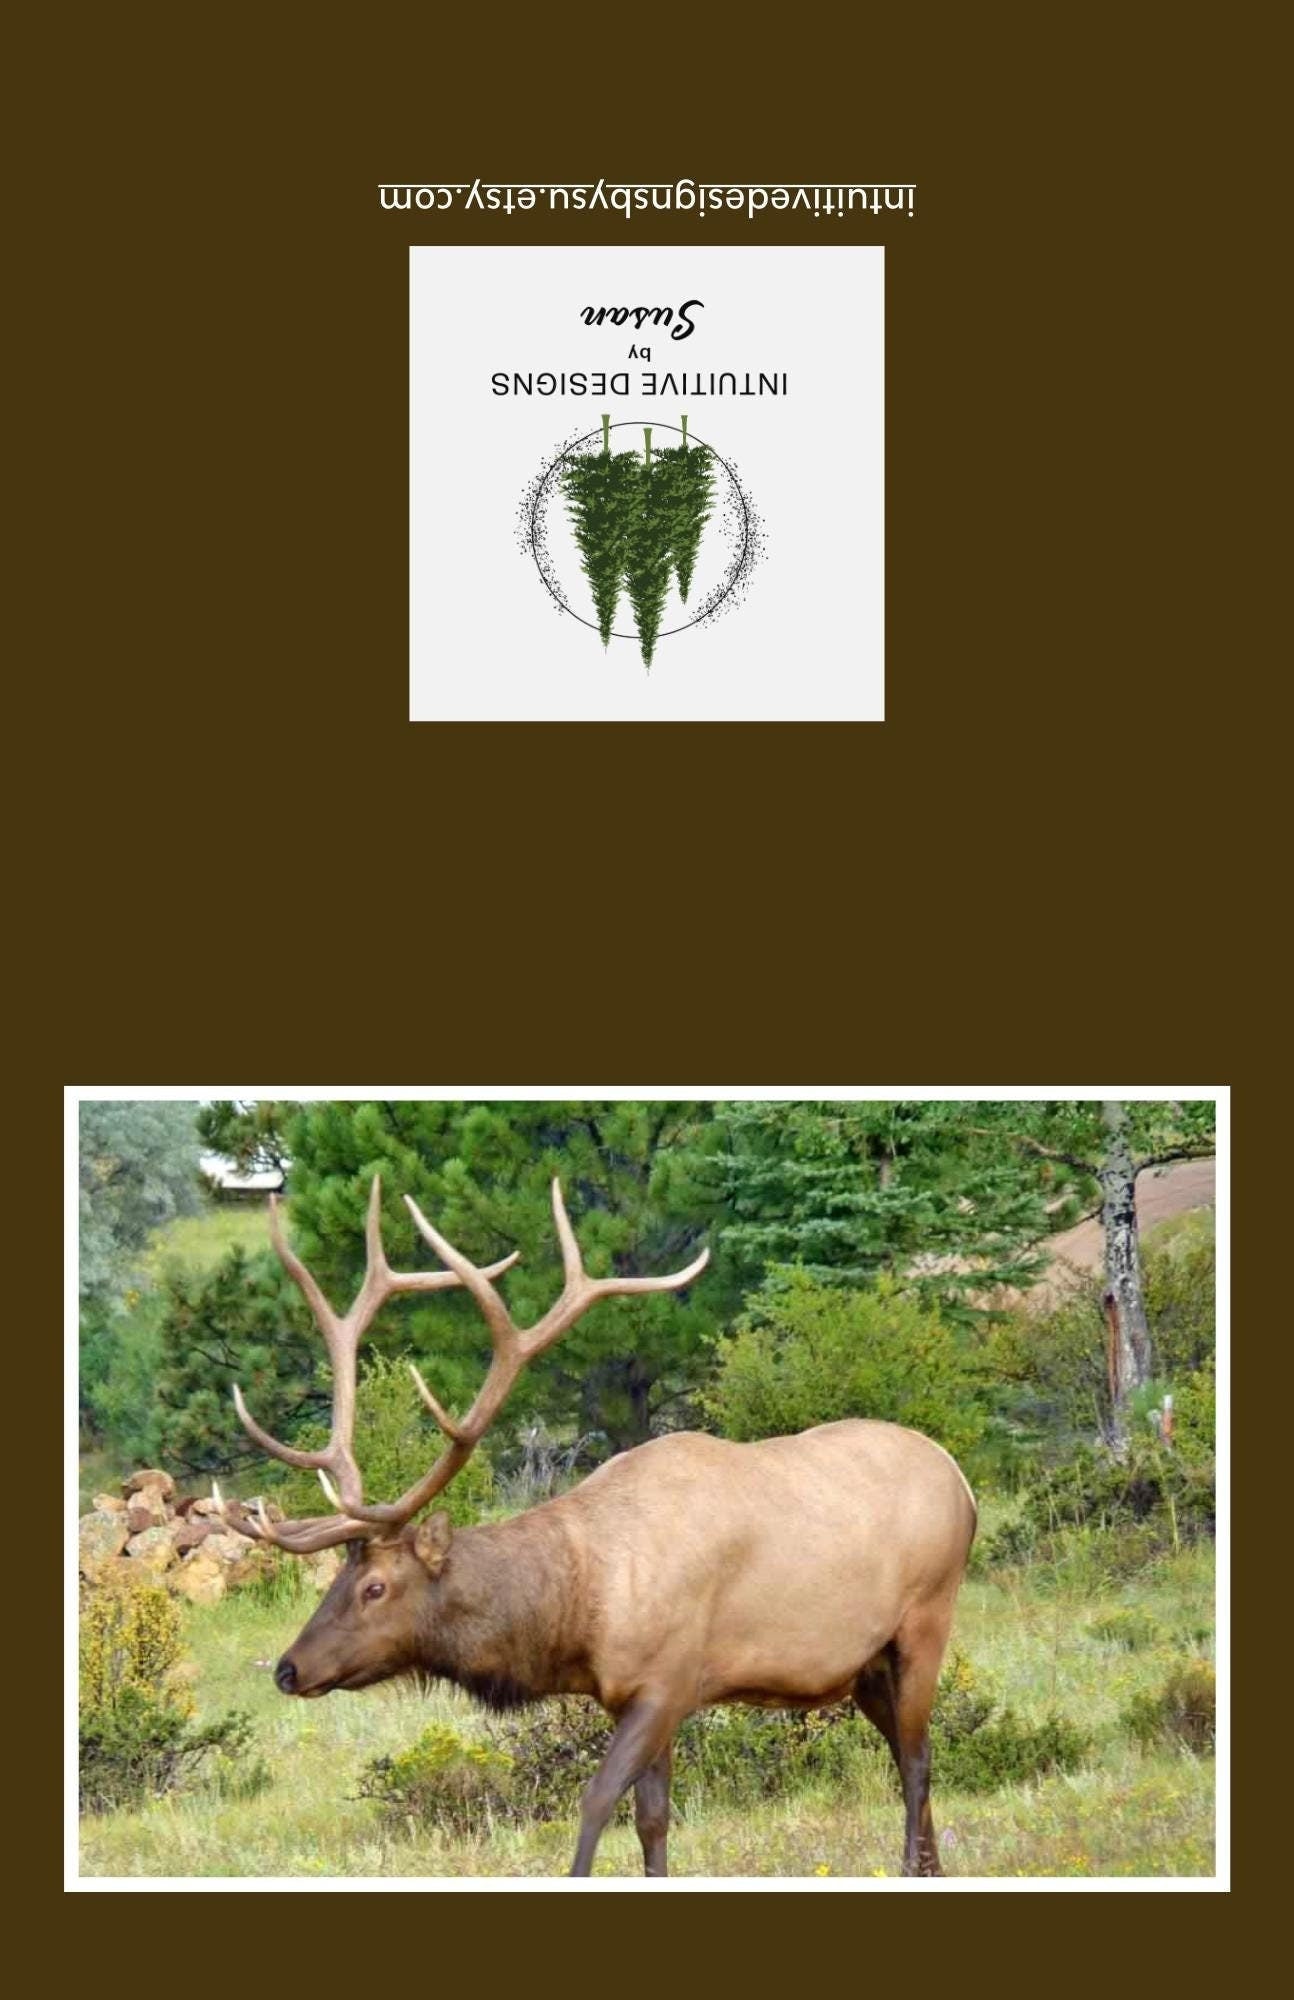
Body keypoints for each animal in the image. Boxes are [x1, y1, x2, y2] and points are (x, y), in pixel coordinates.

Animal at [218, 1177, 977, 1878]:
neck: (584, 1605)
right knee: (907, 1750)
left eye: (375, 1586)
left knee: (918, 1758)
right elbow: (652, 1820)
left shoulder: (669, 1681)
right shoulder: (628, 1698)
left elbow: (595, 1802)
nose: (288, 1668)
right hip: (865, 1664)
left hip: (926, 1618)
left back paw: (912, 1868)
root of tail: (960, 1479)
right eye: (339, 1577)